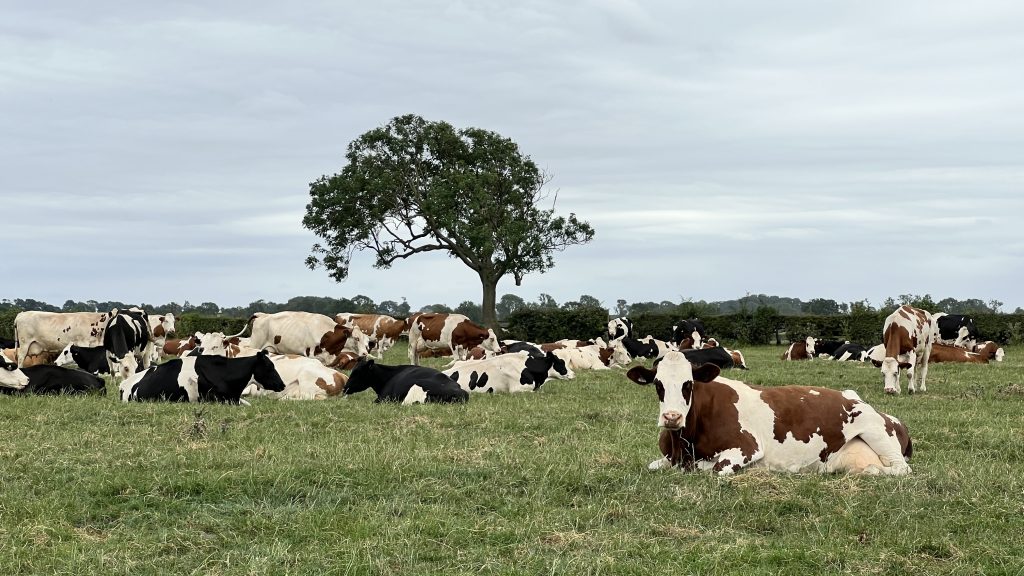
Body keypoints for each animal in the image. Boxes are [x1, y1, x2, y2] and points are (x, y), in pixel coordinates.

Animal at [232, 311, 369, 367]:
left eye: (367, 341)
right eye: (356, 338)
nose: (364, 354)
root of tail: (262, 315)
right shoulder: (311, 354)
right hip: (255, 344)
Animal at [627, 351, 912, 475]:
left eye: (688, 384)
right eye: (658, 384)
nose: (671, 417)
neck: (684, 445)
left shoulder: (748, 447)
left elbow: (715, 468)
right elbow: (653, 465)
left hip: (877, 431)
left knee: (900, 468)